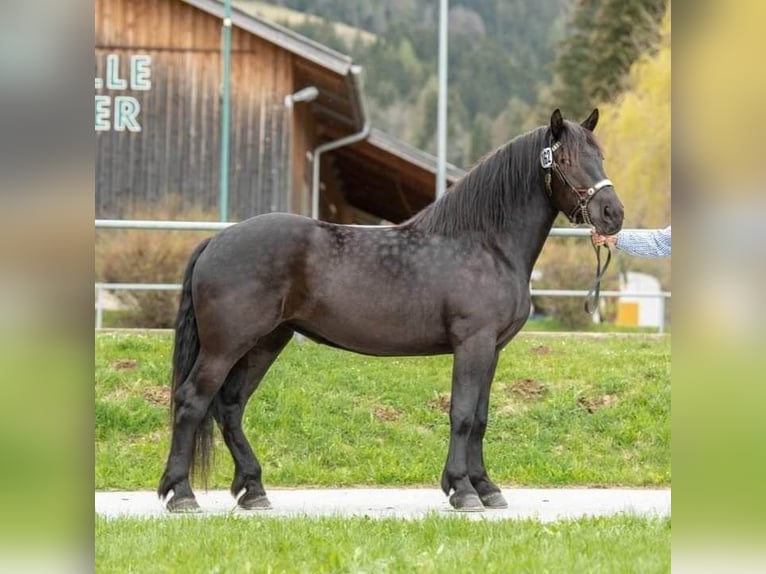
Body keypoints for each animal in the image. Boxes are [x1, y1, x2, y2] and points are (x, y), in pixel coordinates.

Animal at [160, 110, 624, 516]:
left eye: (601, 156)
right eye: (565, 160)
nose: (612, 214)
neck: (486, 243)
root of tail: (215, 241)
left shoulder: (492, 349)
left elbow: (480, 417)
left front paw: (486, 488)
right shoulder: (472, 344)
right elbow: (461, 415)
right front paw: (462, 490)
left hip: (265, 342)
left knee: (230, 406)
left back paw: (253, 490)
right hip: (226, 345)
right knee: (192, 401)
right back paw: (181, 495)